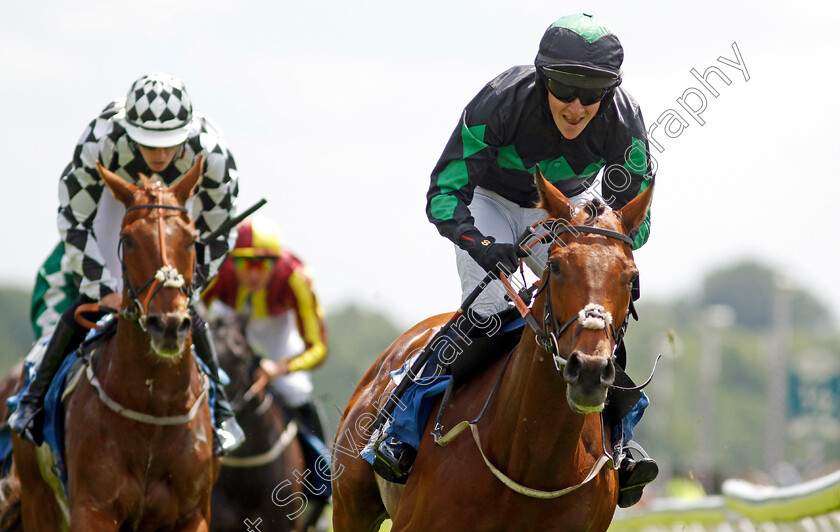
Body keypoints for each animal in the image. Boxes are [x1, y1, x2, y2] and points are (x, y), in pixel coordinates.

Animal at [11, 159, 218, 532]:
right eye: (129, 240)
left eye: (192, 239)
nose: (167, 325)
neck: (154, 409)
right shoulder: (93, 511)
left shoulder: (193, 516)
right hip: (39, 502)